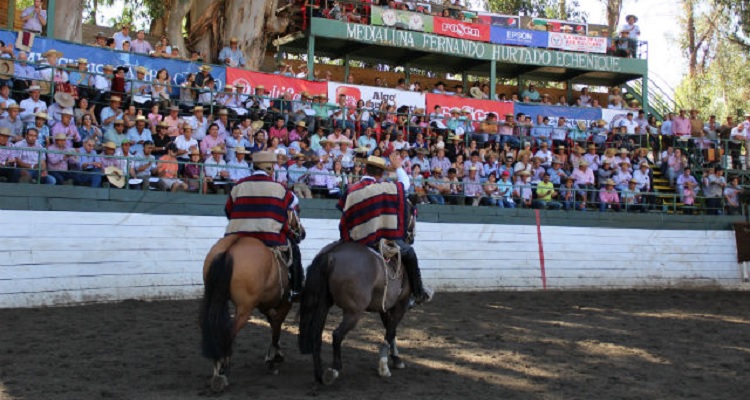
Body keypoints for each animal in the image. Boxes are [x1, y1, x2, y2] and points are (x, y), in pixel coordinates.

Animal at [203, 212, 306, 390]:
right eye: (295, 212)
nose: (302, 232)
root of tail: (231, 248)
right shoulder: (285, 303)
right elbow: (277, 325)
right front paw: (273, 359)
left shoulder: (265, 304)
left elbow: (273, 323)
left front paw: (275, 354)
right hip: (244, 310)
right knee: (229, 330)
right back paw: (221, 370)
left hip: (215, 299)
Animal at [298, 203, 418, 384]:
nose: (412, 237)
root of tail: (332, 254)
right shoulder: (400, 305)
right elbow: (391, 331)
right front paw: (385, 366)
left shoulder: (384, 308)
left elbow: (391, 331)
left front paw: (395, 359)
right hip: (353, 312)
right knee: (337, 335)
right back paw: (334, 370)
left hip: (323, 305)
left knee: (316, 335)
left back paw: (319, 374)